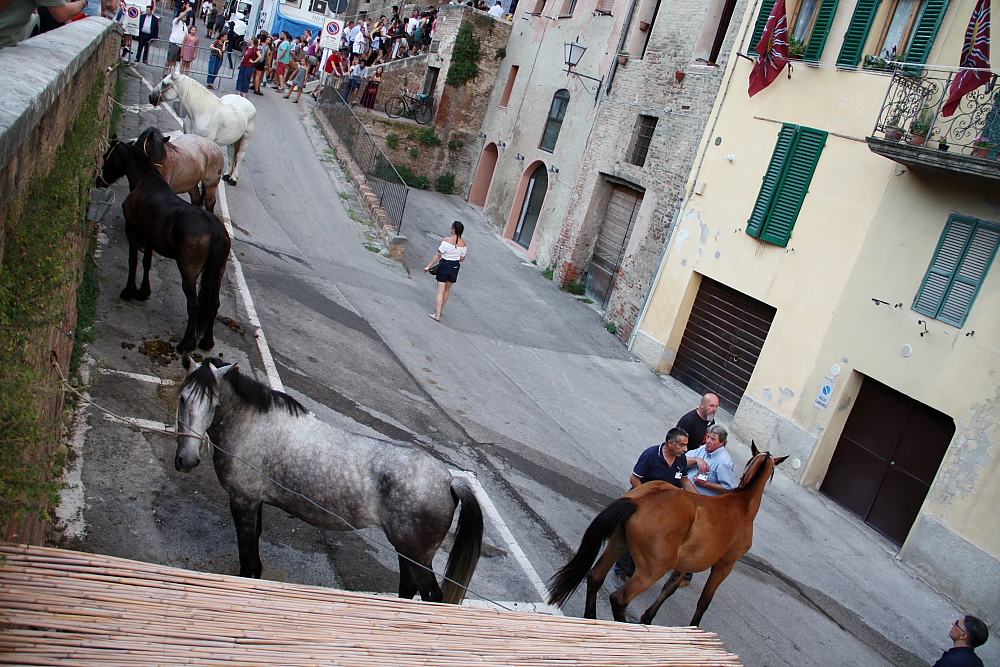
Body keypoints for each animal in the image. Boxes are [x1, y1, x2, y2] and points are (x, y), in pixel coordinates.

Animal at [99, 138, 232, 352]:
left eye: (107, 157)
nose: (98, 180)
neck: (147, 182)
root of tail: (215, 231)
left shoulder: (132, 231)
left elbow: (133, 260)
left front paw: (129, 291)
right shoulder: (150, 238)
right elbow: (146, 263)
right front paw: (143, 292)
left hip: (188, 272)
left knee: (194, 304)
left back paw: (187, 343)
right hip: (217, 274)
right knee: (214, 304)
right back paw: (206, 342)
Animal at [175, 358, 484, 608]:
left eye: (214, 404)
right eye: (182, 398)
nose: (186, 460)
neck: (253, 425)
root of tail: (449, 480)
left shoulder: (243, 501)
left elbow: (248, 558)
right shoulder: (254, 503)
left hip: (417, 556)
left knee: (431, 597)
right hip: (407, 552)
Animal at [548, 444, 788, 628]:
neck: (741, 503)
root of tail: (639, 501)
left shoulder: (686, 562)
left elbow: (669, 588)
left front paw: (648, 616)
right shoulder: (724, 566)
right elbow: (704, 601)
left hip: (618, 543)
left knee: (595, 576)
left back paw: (592, 618)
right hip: (653, 568)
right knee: (620, 599)